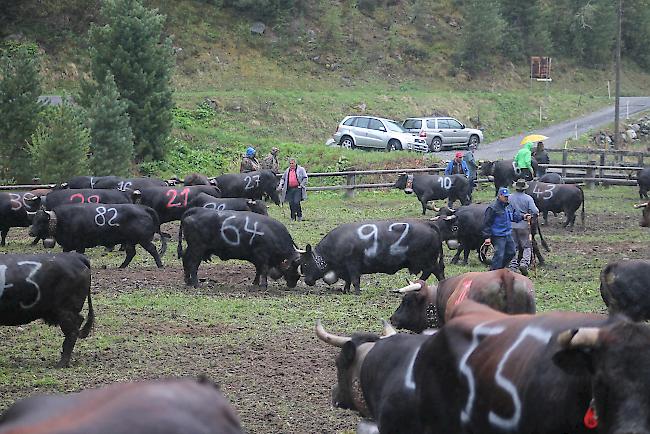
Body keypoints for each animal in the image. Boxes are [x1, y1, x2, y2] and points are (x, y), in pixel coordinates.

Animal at [29, 203, 166, 268]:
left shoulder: (80, 244)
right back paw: (121, 266)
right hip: (130, 241)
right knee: (131, 253)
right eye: (34, 219)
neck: (60, 219)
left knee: (153, 249)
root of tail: (144, 208)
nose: (31, 232)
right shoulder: (67, 245)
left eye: (41, 221)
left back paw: (160, 265)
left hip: (143, 240)